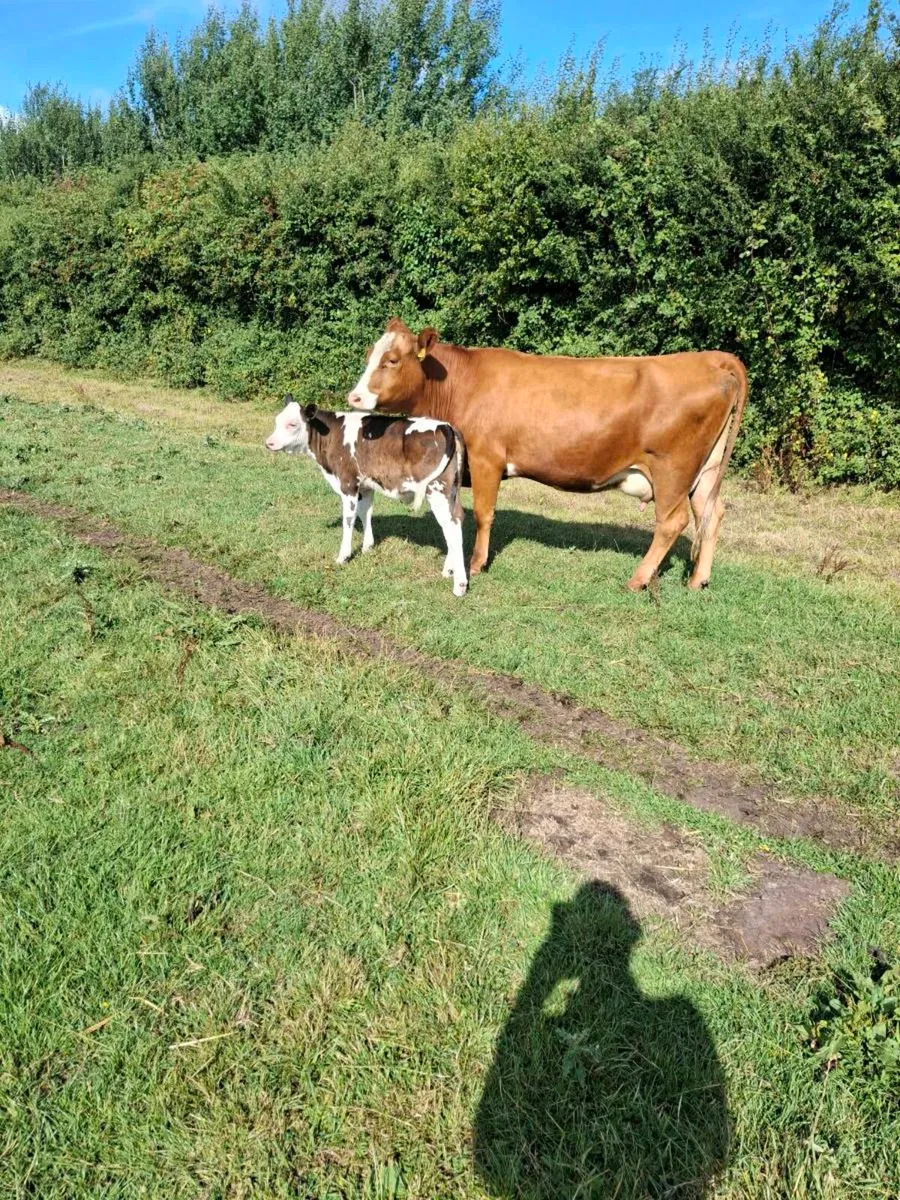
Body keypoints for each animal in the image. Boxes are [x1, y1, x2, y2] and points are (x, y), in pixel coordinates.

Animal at [265, 397, 468, 596]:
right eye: (277, 421)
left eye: (292, 424)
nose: (269, 443)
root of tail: (446, 426)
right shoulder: (366, 486)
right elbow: (366, 513)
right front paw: (367, 547)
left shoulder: (348, 484)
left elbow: (349, 520)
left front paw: (343, 556)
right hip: (451, 490)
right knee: (456, 520)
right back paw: (449, 570)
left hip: (437, 489)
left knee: (451, 528)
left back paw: (460, 584)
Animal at [347, 319, 748, 591]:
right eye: (369, 355)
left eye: (392, 360)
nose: (355, 396)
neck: (461, 384)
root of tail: (713, 359)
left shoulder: (487, 458)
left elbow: (484, 514)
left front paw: (475, 565)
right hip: (705, 471)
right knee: (712, 512)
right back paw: (698, 580)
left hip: (672, 470)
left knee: (672, 521)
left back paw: (638, 580)